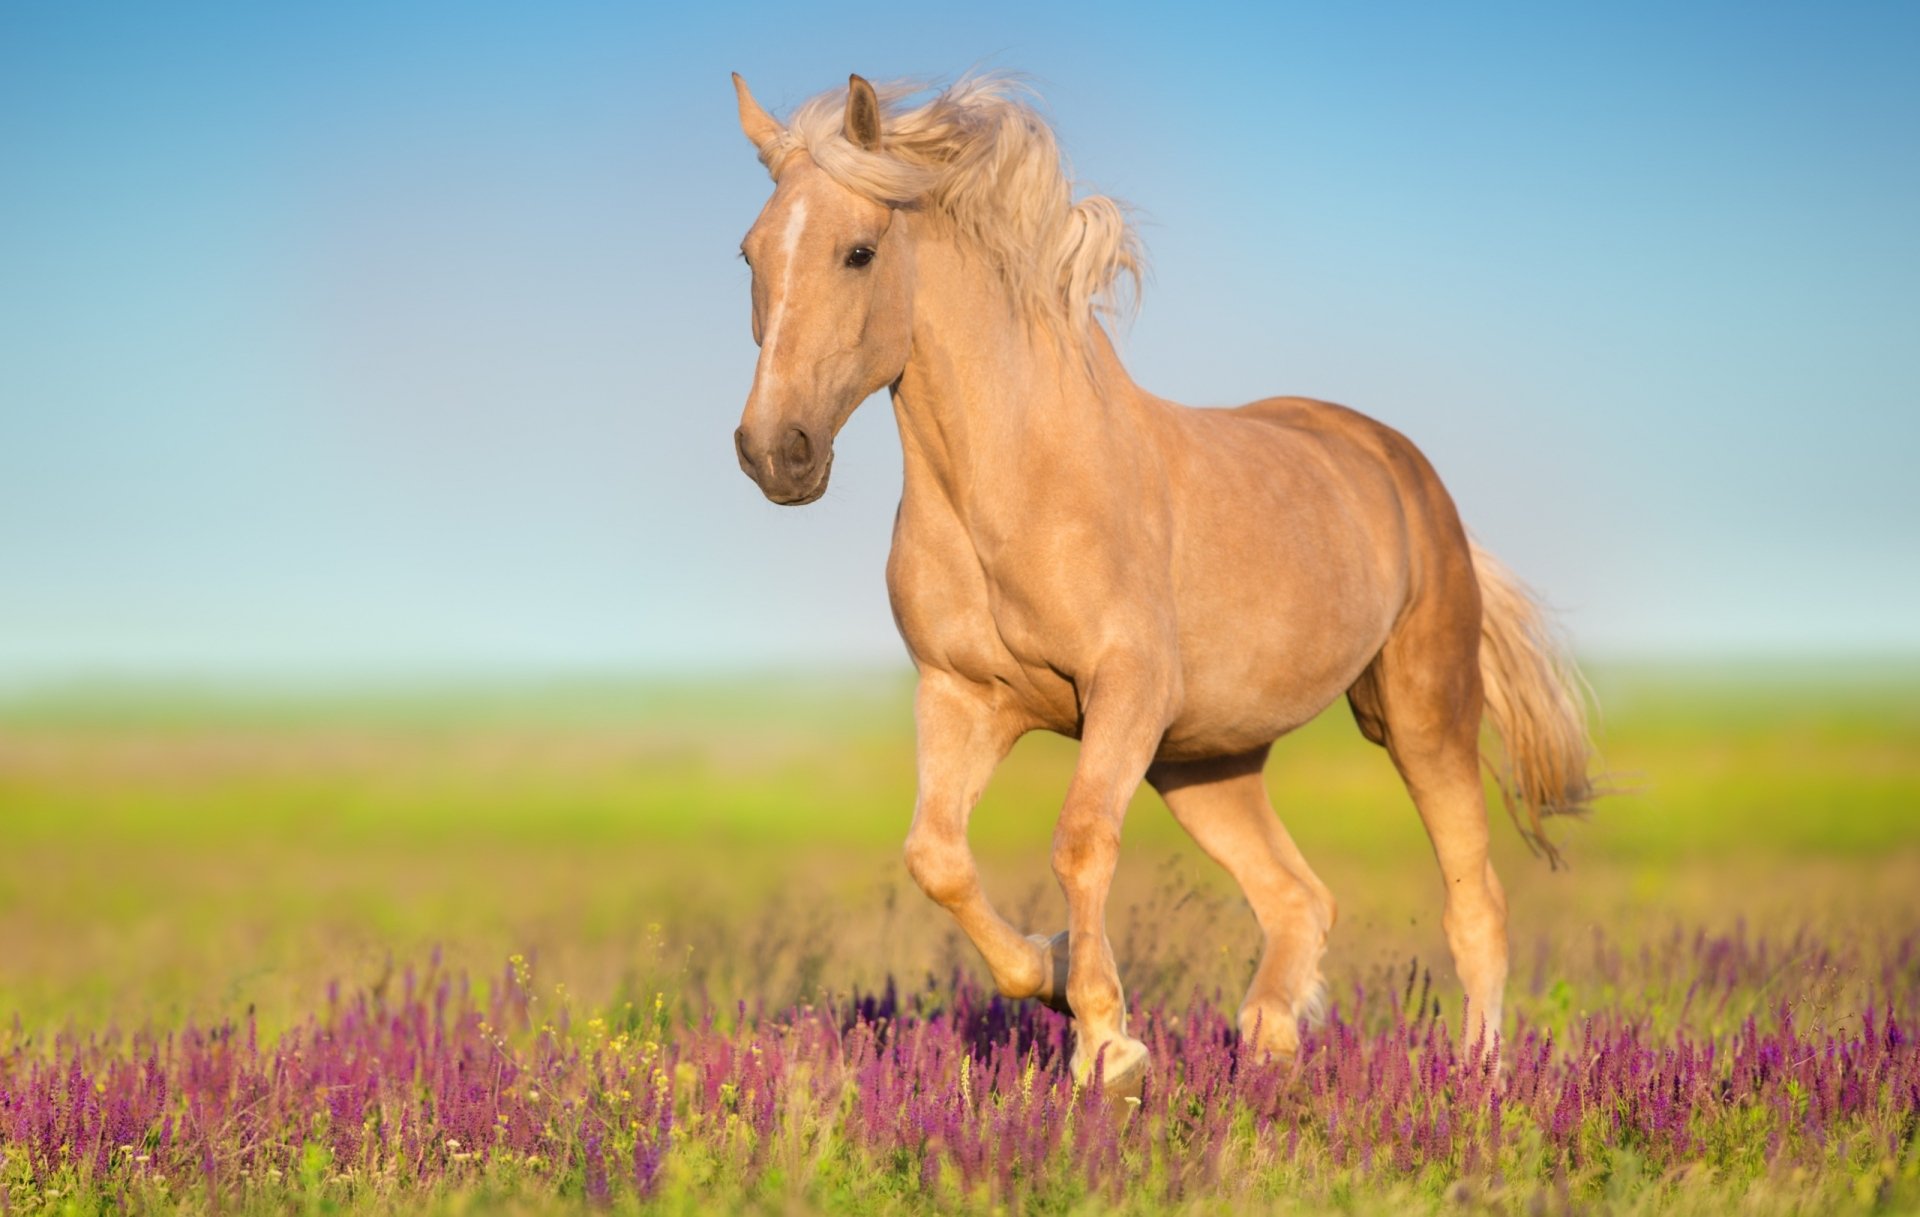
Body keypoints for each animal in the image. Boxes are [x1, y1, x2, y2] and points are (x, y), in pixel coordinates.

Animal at [726, 72, 1598, 1093]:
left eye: (860, 251)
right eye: (750, 252)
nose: (775, 452)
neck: (1012, 484)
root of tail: (1400, 463)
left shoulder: (1125, 690)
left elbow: (1079, 839)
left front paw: (1109, 1046)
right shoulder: (963, 696)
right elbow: (936, 857)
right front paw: (1056, 974)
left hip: (1424, 716)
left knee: (1475, 901)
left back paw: (1478, 1077)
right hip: (1207, 761)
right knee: (1300, 897)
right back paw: (1271, 1037)